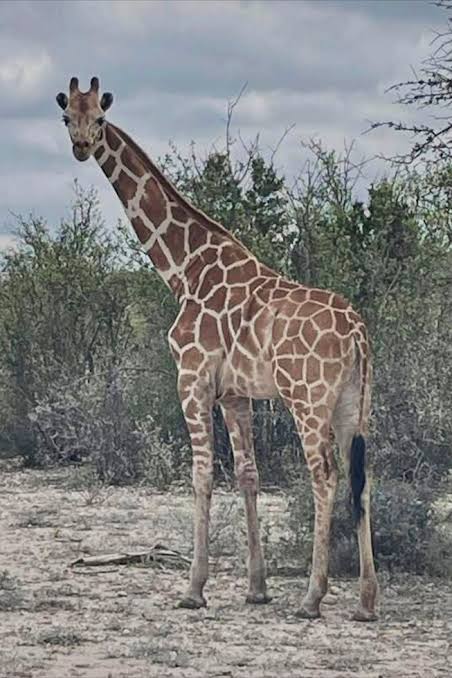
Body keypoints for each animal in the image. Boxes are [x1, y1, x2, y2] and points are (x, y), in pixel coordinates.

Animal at [56, 77, 378, 621]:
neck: (184, 269)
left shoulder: (192, 377)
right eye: (66, 117)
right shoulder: (235, 393)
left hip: (308, 398)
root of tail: (357, 331)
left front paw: (194, 588)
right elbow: (248, 474)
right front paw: (256, 587)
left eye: (99, 117)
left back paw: (312, 597)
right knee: (362, 476)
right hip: (354, 403)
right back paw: (366, 601)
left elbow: (202, 474)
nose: (80, 147)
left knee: (325, 475)